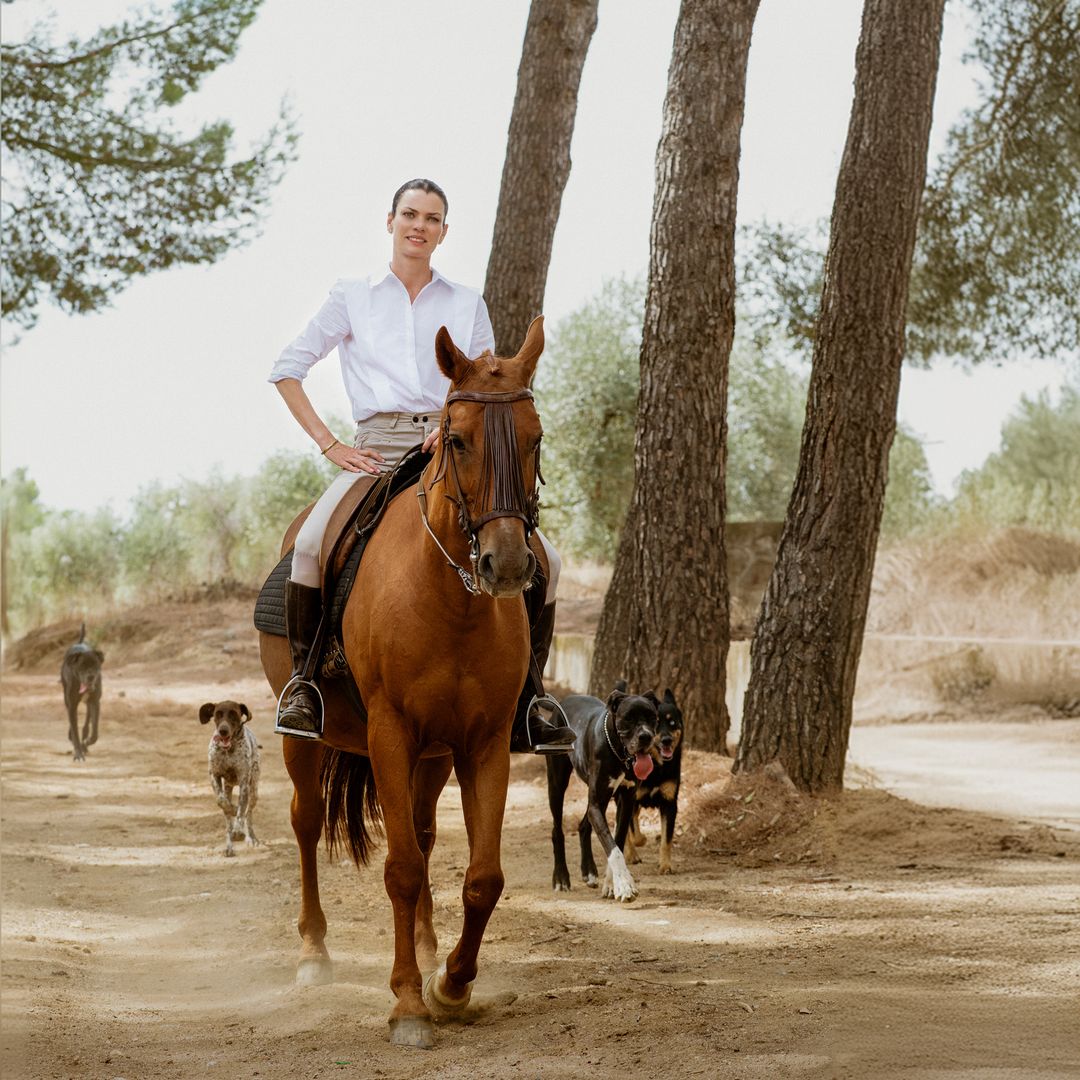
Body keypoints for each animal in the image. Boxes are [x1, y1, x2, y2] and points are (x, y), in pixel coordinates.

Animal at [59, 622, 103, 764]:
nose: (91, 677)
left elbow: (94, 732)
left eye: (95, 664)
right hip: (67, 700)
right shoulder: (72, 705)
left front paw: (87, 741)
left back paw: (85, 741)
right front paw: (78, 754)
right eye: (82, 665)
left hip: (89, 702)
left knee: (87, 722)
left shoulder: (95, 702)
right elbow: (75, 731)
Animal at [198, 699, 259, 859]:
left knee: (249, 815)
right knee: (228, 820)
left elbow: (241, 813)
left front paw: (238, 829)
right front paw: (232, 809)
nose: (223, 731)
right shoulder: (214, 775)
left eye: (233, 714)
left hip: (254, 790)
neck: (228, 750)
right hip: (228, 787)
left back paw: (251, 837)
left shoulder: (244, 782)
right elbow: (221, 801)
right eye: (218, 714)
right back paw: (229, 846)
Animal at [260, 315, 548, 1049]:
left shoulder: (483, 744)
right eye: (457, 438)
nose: (506, 564)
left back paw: (424, 948)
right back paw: (314, 953)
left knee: (419, 832)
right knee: (308, 823)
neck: (452, 602)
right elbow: (401, 870)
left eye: (535, 437)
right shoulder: (390, 733)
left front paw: (451, 984)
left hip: (433, 757)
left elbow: (481, 876)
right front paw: (409, 1006)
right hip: (305, 742)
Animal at [617, 686, 682, 872]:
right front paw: (639, 843)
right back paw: (631, 854)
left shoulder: (669, 803)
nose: (667, 740)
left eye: (672, 722)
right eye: (656, 723)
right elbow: (633, 833)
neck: (656, 768)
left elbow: (666, 839)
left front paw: (665, 865)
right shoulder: (629, 798)